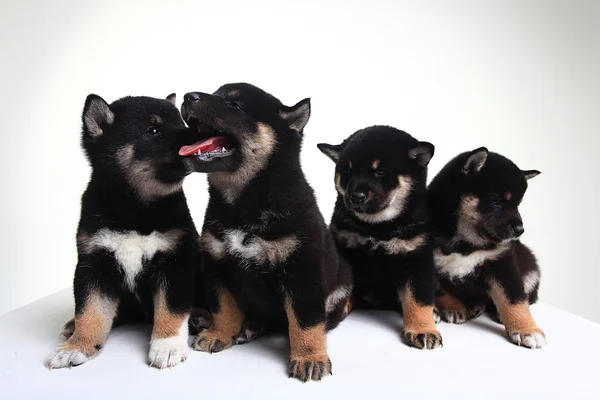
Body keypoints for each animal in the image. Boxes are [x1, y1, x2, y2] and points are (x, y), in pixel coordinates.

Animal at [46, 94, 202, 368]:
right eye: (153, 130)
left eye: (181, 122)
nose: (196, 133)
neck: (135, 210)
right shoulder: (93, 264)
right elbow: (90, 312)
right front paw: (77, 346)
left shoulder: (175, 261)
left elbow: (171, 309)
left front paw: (167, 345)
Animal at [180, 82, 354, 382]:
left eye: (235, 105)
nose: (187, 96)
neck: (243, 205)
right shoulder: (216, 264)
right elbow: (223, 307)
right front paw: (219, 334)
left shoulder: (301, 271)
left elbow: (306, 321)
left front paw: (309, 358)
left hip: (339, 292)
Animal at [318, 126, 440, 348]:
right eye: (348, 171)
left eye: (381, 171)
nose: (356, 196)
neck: (377, 227)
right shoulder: (344, 248)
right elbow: (345, 285)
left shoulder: (416, 258)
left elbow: (418, 299)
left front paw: (423, 329)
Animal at [426, 148, 548, 348]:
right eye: (496, 201)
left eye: (517, 205)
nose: (520, 230)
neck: (466, 243)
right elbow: (442, 290)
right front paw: (454, 307)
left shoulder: (501, 264)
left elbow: (514, 300)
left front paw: (527, 330)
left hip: (532, 270)